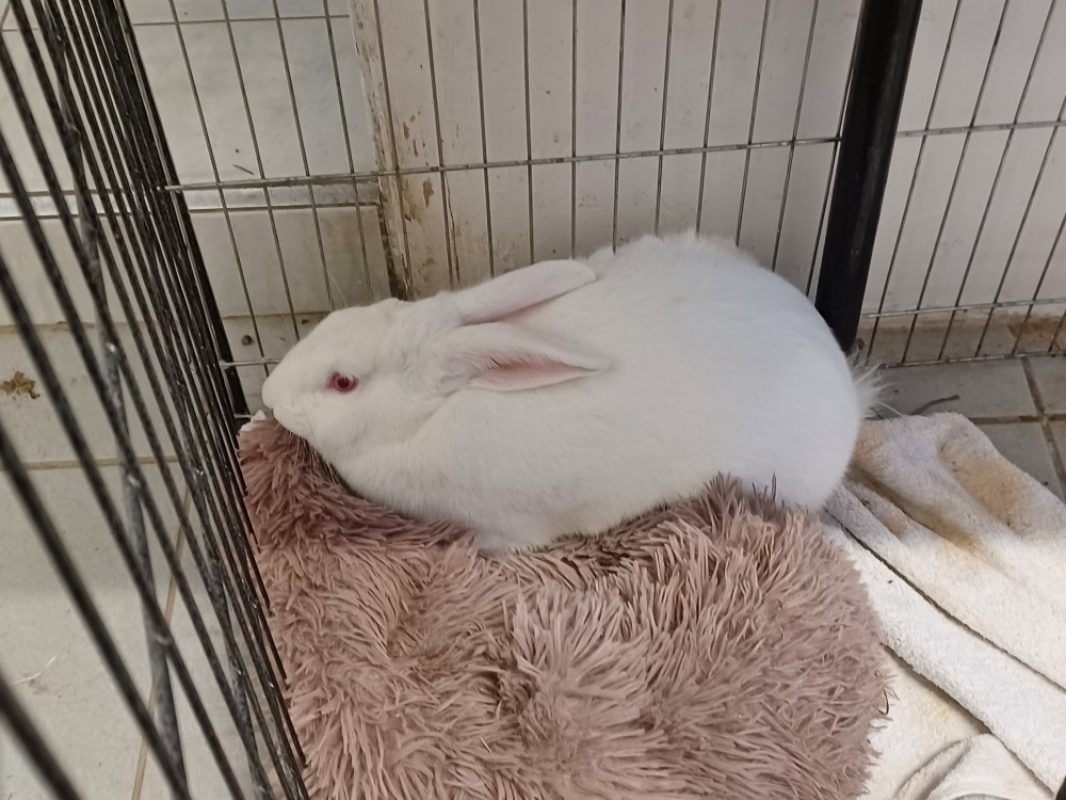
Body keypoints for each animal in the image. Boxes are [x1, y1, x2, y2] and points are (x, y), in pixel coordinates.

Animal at [261, 231, 874, 551]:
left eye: (343, 382)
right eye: (336, 318)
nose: (267, 394)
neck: (427, 418)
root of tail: (847, 384)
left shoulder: (505, 527)